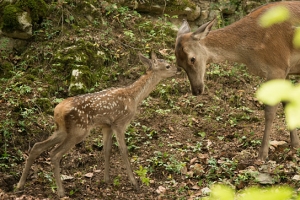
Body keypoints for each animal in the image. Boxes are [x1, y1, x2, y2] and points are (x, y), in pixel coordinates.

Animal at [16, 52, 177, 197]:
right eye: (168, 66)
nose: (178, 70)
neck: (134, 97)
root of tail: (57, 110)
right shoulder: (120, 122)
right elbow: (123, 151)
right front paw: (135, 183)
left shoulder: (106, 126)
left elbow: (107, 150)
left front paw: (106, 179)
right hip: (78, 130)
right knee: (54, 154)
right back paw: (61, 192)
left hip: (62, 130)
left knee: (37, 146)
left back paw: (20, 185)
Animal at [175, 1, 300, 161]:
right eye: (179, 64)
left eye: (192, 59)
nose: (196, 90)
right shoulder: (286, 70)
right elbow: (287, 102)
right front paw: (295, 145)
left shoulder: (277, 66)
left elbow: (270, 111)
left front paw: (262, 154)